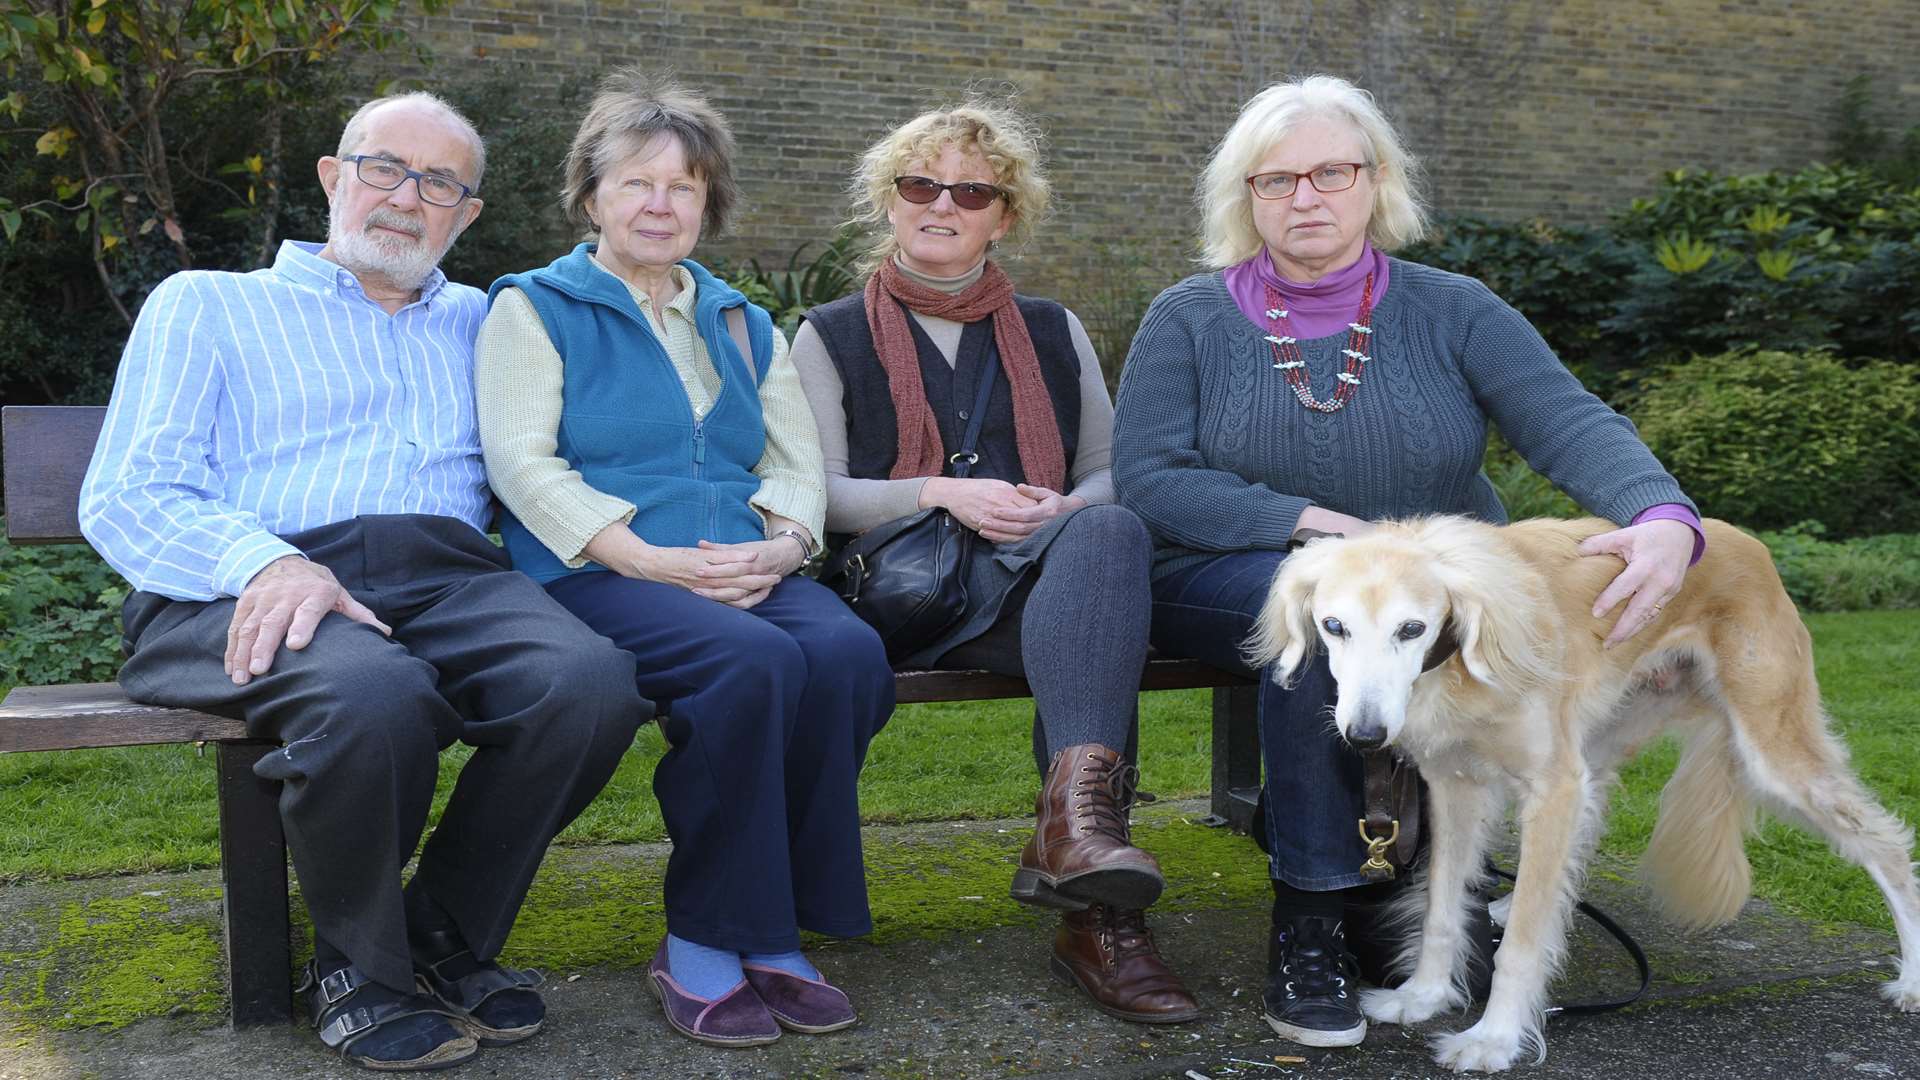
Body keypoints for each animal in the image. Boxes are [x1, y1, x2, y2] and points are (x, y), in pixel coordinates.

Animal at [1244, 515, 1920, 1068]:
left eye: (1412, 628)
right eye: (1334, 626)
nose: (1365, 736)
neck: (1467, 652)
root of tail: (1748, 543)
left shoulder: (1552, 787)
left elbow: (1521, 946)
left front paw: (1494, 1039)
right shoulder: (1454, 786)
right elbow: (1440, 906)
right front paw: (1425, 995)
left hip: (1770, 746)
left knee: (1883, 843)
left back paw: (1912, 977)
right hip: (1602, 742)